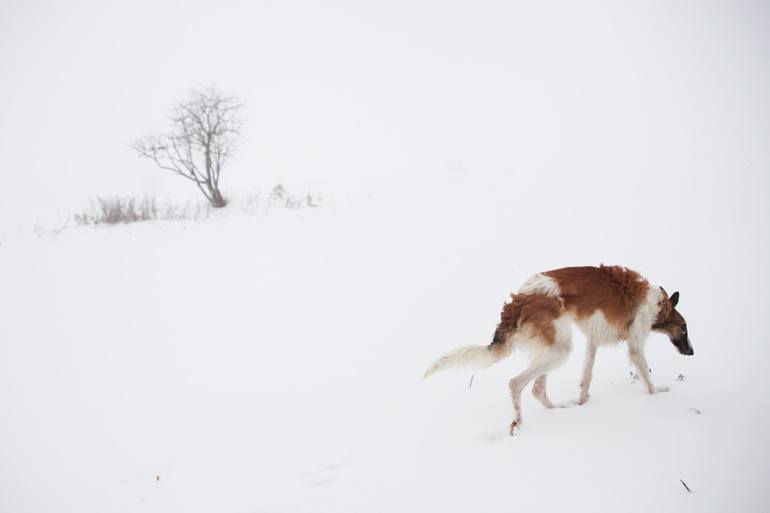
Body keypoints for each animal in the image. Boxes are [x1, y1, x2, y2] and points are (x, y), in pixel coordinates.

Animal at [424, 264, 692, 432]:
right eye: (684, 328)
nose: (691, 352)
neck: (656, 304)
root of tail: (519, 300)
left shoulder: (593, 341)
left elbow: (586, 378)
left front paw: (583, 405)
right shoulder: (635, 344)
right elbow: (647, 377)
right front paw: (658, 395)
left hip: (552, 348)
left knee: (537, 390)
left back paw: (560, 412)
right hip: (558, 350)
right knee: (517, 384)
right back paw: (518, 424)